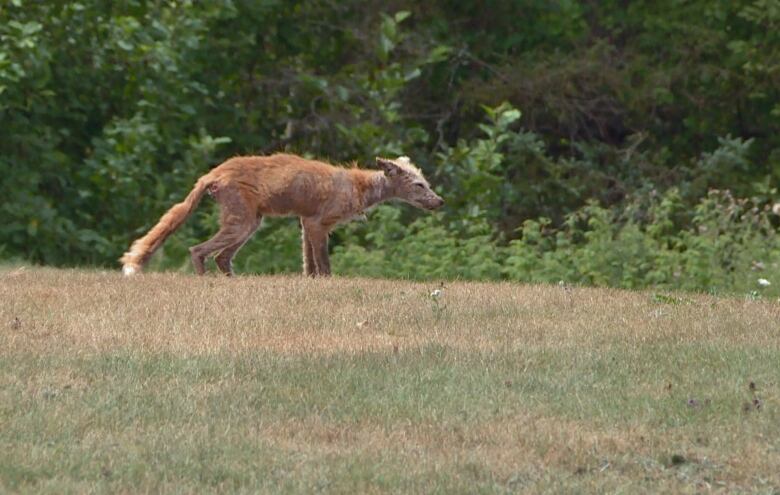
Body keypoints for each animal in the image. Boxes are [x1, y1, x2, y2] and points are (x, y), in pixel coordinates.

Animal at [119, 154, 442, 278]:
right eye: (419, 185)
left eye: (427, 183)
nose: (440, 201)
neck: (357, 187)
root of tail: (213, 172)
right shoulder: (316, 224)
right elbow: (323, 266)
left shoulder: (305, 223)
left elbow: (309, 266)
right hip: (242, 224)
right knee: (198, 250)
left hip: (250, 224)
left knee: (221, 257)